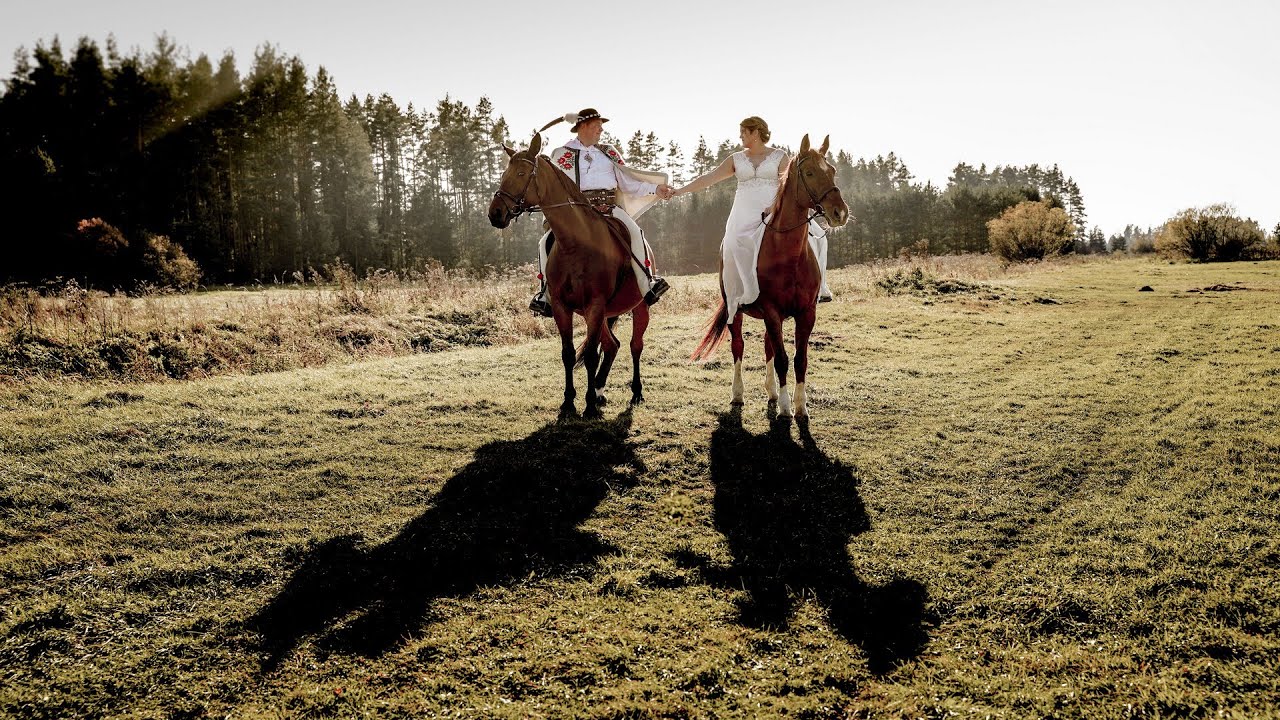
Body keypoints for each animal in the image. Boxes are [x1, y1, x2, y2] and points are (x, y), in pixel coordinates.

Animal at [488, 131, 650, 417]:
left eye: (521, 173)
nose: (495, 213)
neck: (576, 244)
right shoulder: (564, 307)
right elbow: (568, 353)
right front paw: (569, 402)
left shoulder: (595, 305)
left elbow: (591, 356)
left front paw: (588, 406)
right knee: (612, 345)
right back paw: (599, 391)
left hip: (638, 306)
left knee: (634, 346)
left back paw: (636, 391)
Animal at [696, 134, 844, 417]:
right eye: (810, 172)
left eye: (832, 171)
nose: (840, 212)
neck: (787, 254)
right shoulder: (773, 312)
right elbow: (783, 359)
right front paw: (786, 408)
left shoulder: (806, 312)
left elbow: (799, 359)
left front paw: (800, 406)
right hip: (736, 310)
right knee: (738, 346)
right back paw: (738, 394)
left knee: (767, 346)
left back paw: (772, 391)